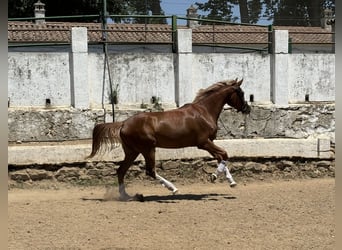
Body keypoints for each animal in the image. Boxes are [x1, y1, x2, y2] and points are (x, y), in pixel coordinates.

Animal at [87, 79, 250, 200]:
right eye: (241, 93)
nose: (247, 109)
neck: (204, 111)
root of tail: (123, 123)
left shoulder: (208, 143)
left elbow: (221, 156)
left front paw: (231, 182)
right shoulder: (203, 143)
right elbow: (224, 154)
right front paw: (214, 176)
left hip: (132, 151)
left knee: (121, 171)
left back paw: (127, 196)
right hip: (148, 148)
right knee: (150, 171)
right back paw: (173, 189)